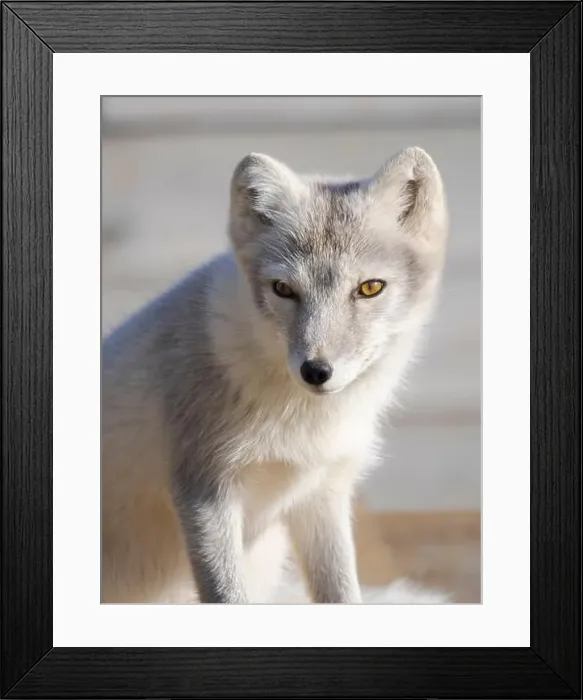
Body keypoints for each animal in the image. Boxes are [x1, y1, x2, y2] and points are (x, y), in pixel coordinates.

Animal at [101, 147, 449, 604]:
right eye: (284, 289)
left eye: (370, 288)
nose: (316, 370)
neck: (302, 423)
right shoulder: (204, 490)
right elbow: (227, 596)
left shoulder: (323, 493)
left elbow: (341, 592)